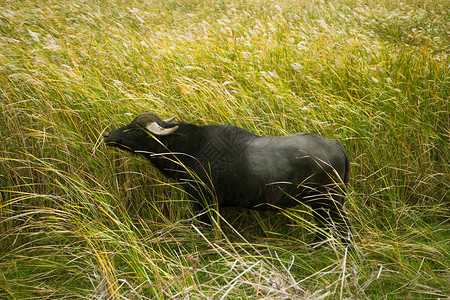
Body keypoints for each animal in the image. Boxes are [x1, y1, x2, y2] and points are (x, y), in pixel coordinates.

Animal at [103, 113, 352, 243]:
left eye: (136, 129)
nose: (107, 135)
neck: (191, 148)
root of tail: (337, 146)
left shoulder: (203, 201)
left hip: (327, 203)